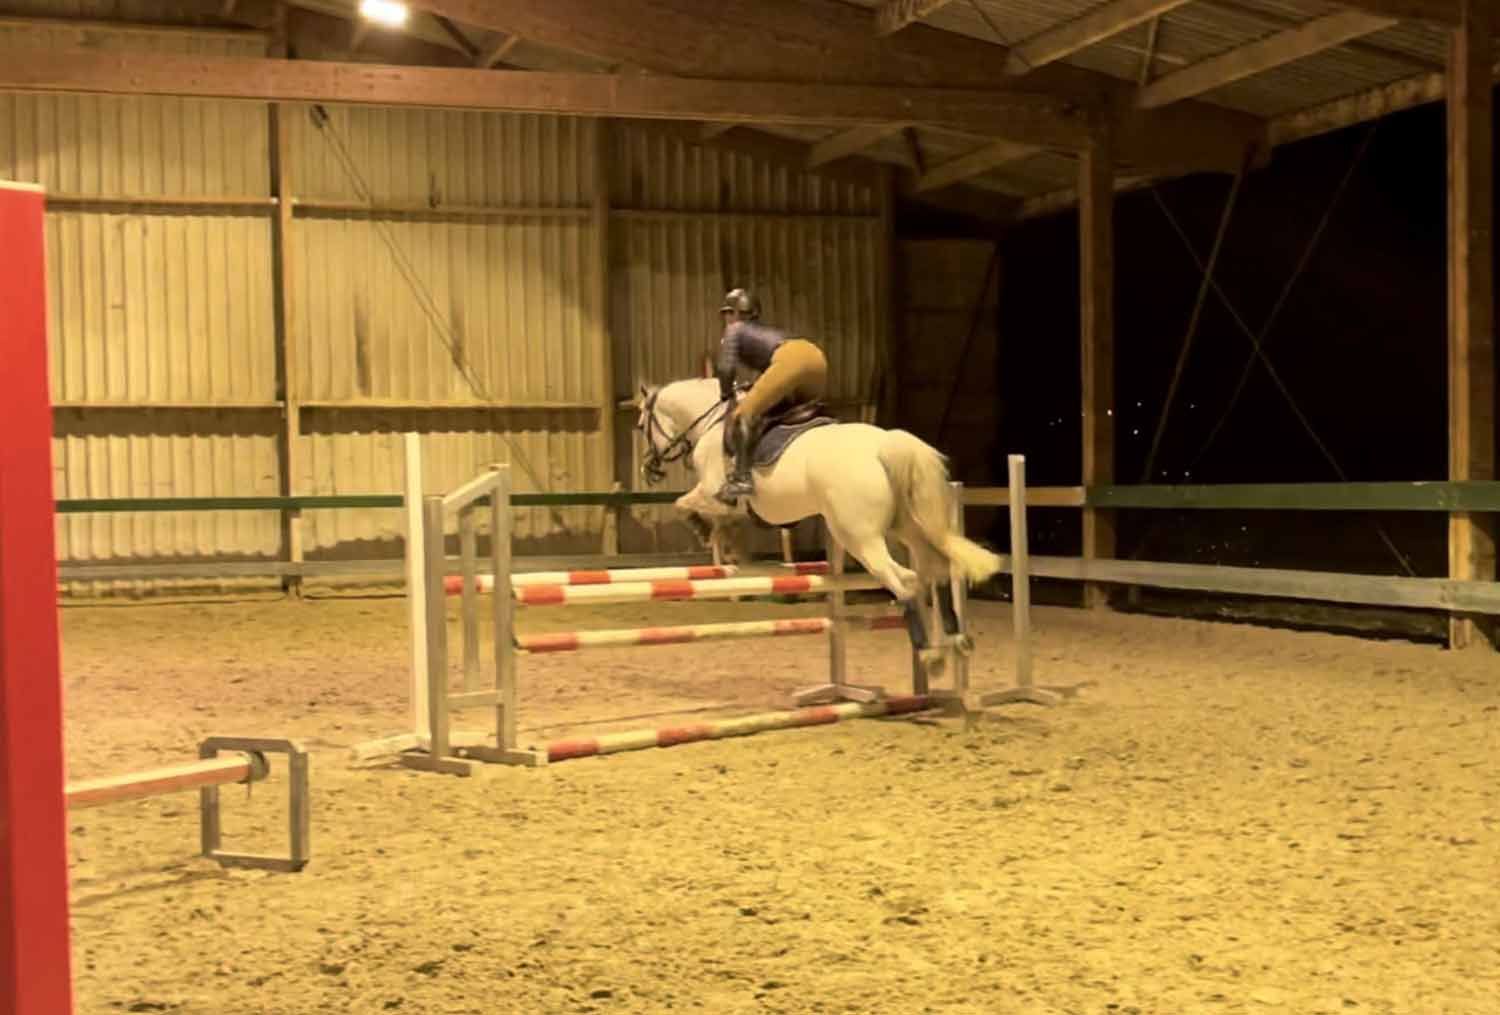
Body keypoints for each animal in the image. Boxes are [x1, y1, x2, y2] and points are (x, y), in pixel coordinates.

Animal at [636, 376, 1008, 659]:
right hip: (905, 526)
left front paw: (702, 529)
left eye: (642, 426)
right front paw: (719, 541)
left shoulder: (717, 495)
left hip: (858, 536)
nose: (649, 469)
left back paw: (929, 654)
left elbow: (683, 504)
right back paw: (956, 638)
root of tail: (884, 445)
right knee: (937, 569)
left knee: (904, 578)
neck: (713, 422)